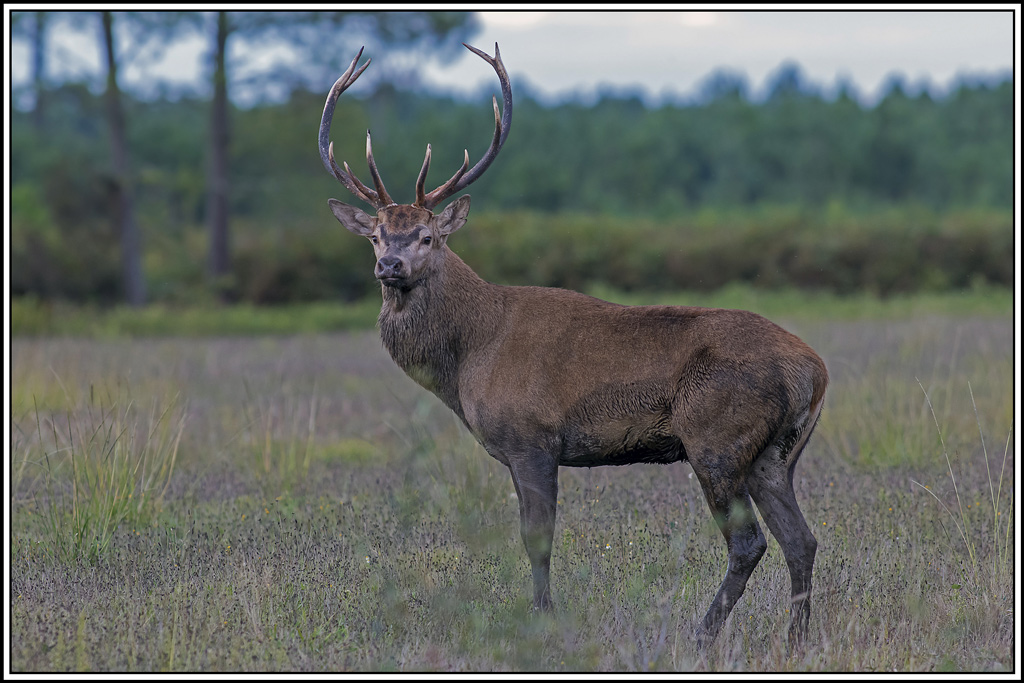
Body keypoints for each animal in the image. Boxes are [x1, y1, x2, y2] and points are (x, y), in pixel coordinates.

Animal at [318, 43, 829, 648]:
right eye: (375, 235)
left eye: (427, 236)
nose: (389, 265)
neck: (467, 358)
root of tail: (815, 371)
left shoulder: (532, 438)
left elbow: (537, 539)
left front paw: (543, 623)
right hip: (774, 453)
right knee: (801, 539)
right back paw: (795, 640)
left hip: (717, 438)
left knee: (750, 543)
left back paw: (700, 637)